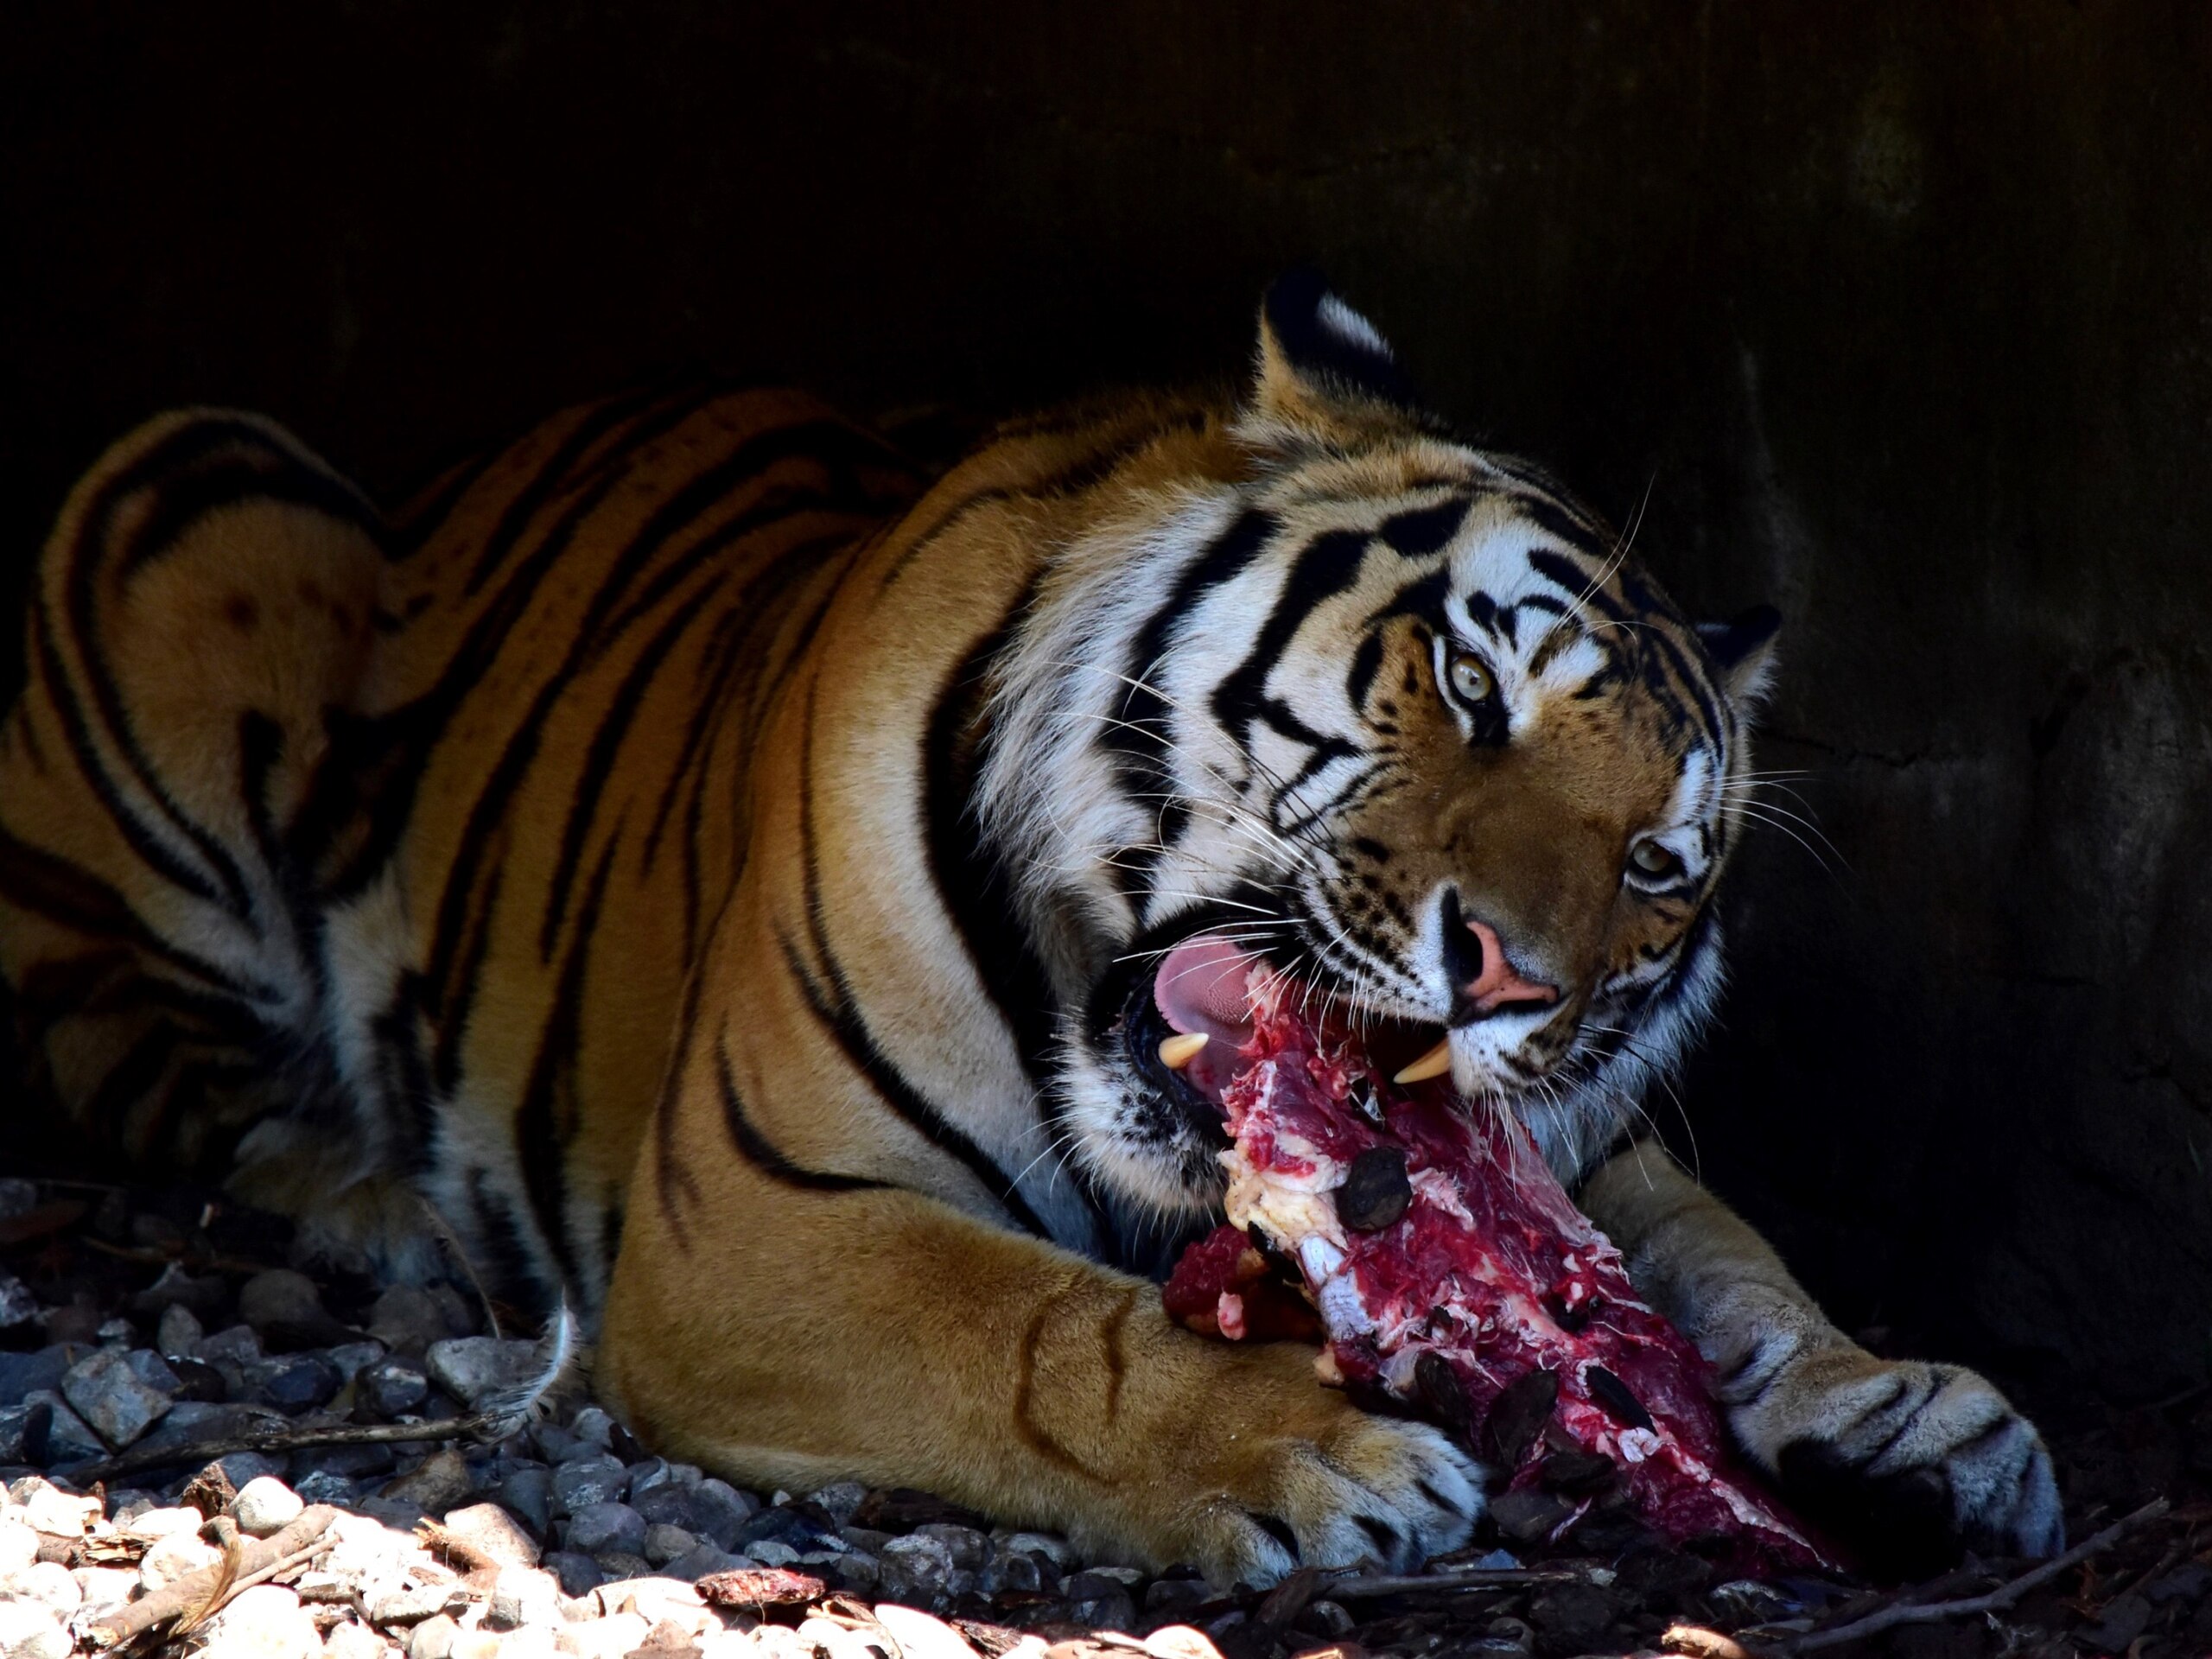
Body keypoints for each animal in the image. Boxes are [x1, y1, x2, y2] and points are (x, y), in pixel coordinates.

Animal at [0, 273, 2061, 1583]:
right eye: (1471, 687)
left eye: (1656, 860)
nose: (1515, 981)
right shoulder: (751, 1217)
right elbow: (1037, 1326)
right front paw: (1311, 1446)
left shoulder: (1570, 1151)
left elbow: (1720, 1255)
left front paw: (1910, 1420)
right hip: (208, 490)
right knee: (119, 1042)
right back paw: (369, 1198)